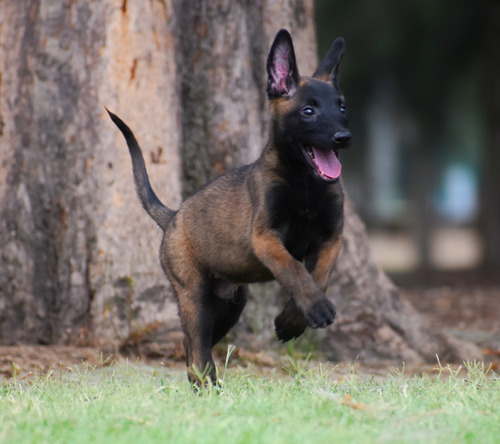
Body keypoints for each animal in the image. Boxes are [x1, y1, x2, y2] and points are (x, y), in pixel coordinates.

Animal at [108, 29, 352, 386]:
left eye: (342, 107)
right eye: (309, 111)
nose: (344, 137)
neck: (305, 185)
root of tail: (173, 216)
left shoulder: (331, 239)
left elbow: (317, 276)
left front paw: (292, 320)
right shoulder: (265, 237)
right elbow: (293, 269)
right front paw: (313, 309)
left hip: (230, 305)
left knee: (192, 345)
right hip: (193, 292)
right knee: (196, 343)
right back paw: (208, 385)